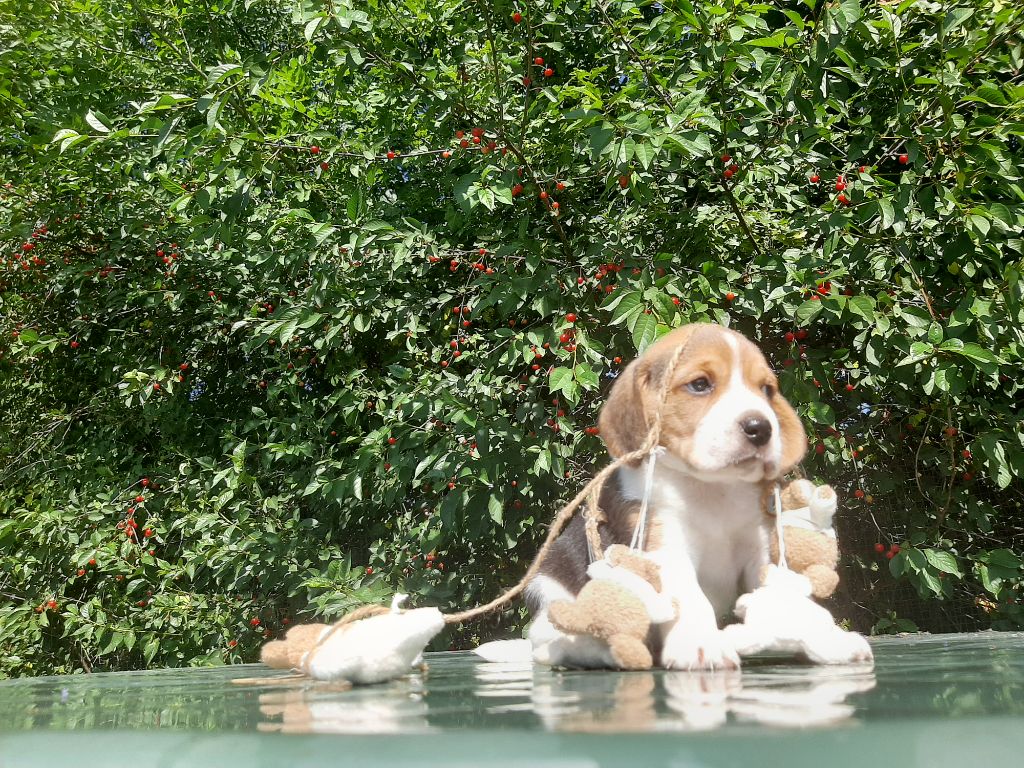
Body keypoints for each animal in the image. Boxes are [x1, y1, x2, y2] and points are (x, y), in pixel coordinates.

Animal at [526, 323, 806, 670]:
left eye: (766, 390)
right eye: (700, 384)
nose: (761, 428)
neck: (713, 487)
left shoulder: (760, 546)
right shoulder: (665, 546)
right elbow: (691, 598)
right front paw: (701, 645)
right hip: (550, 589)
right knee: (549, 643)